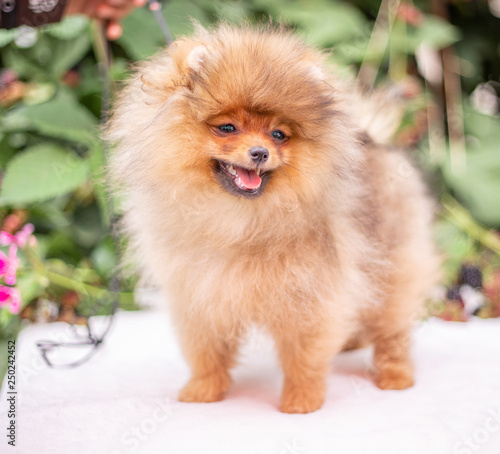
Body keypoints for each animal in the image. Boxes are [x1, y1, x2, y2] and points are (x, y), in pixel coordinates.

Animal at [105, 25, 438, 414]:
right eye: (227, 128)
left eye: (278, 134)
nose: (260, 152)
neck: (238, 217)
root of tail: (373, 139)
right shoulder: (200, 294)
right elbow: (206, 350)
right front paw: (204, 390)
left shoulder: (308, 295)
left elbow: (304, 355)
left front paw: (302, 399)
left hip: (392, 263)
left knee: (392, 327)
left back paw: (395, 374)